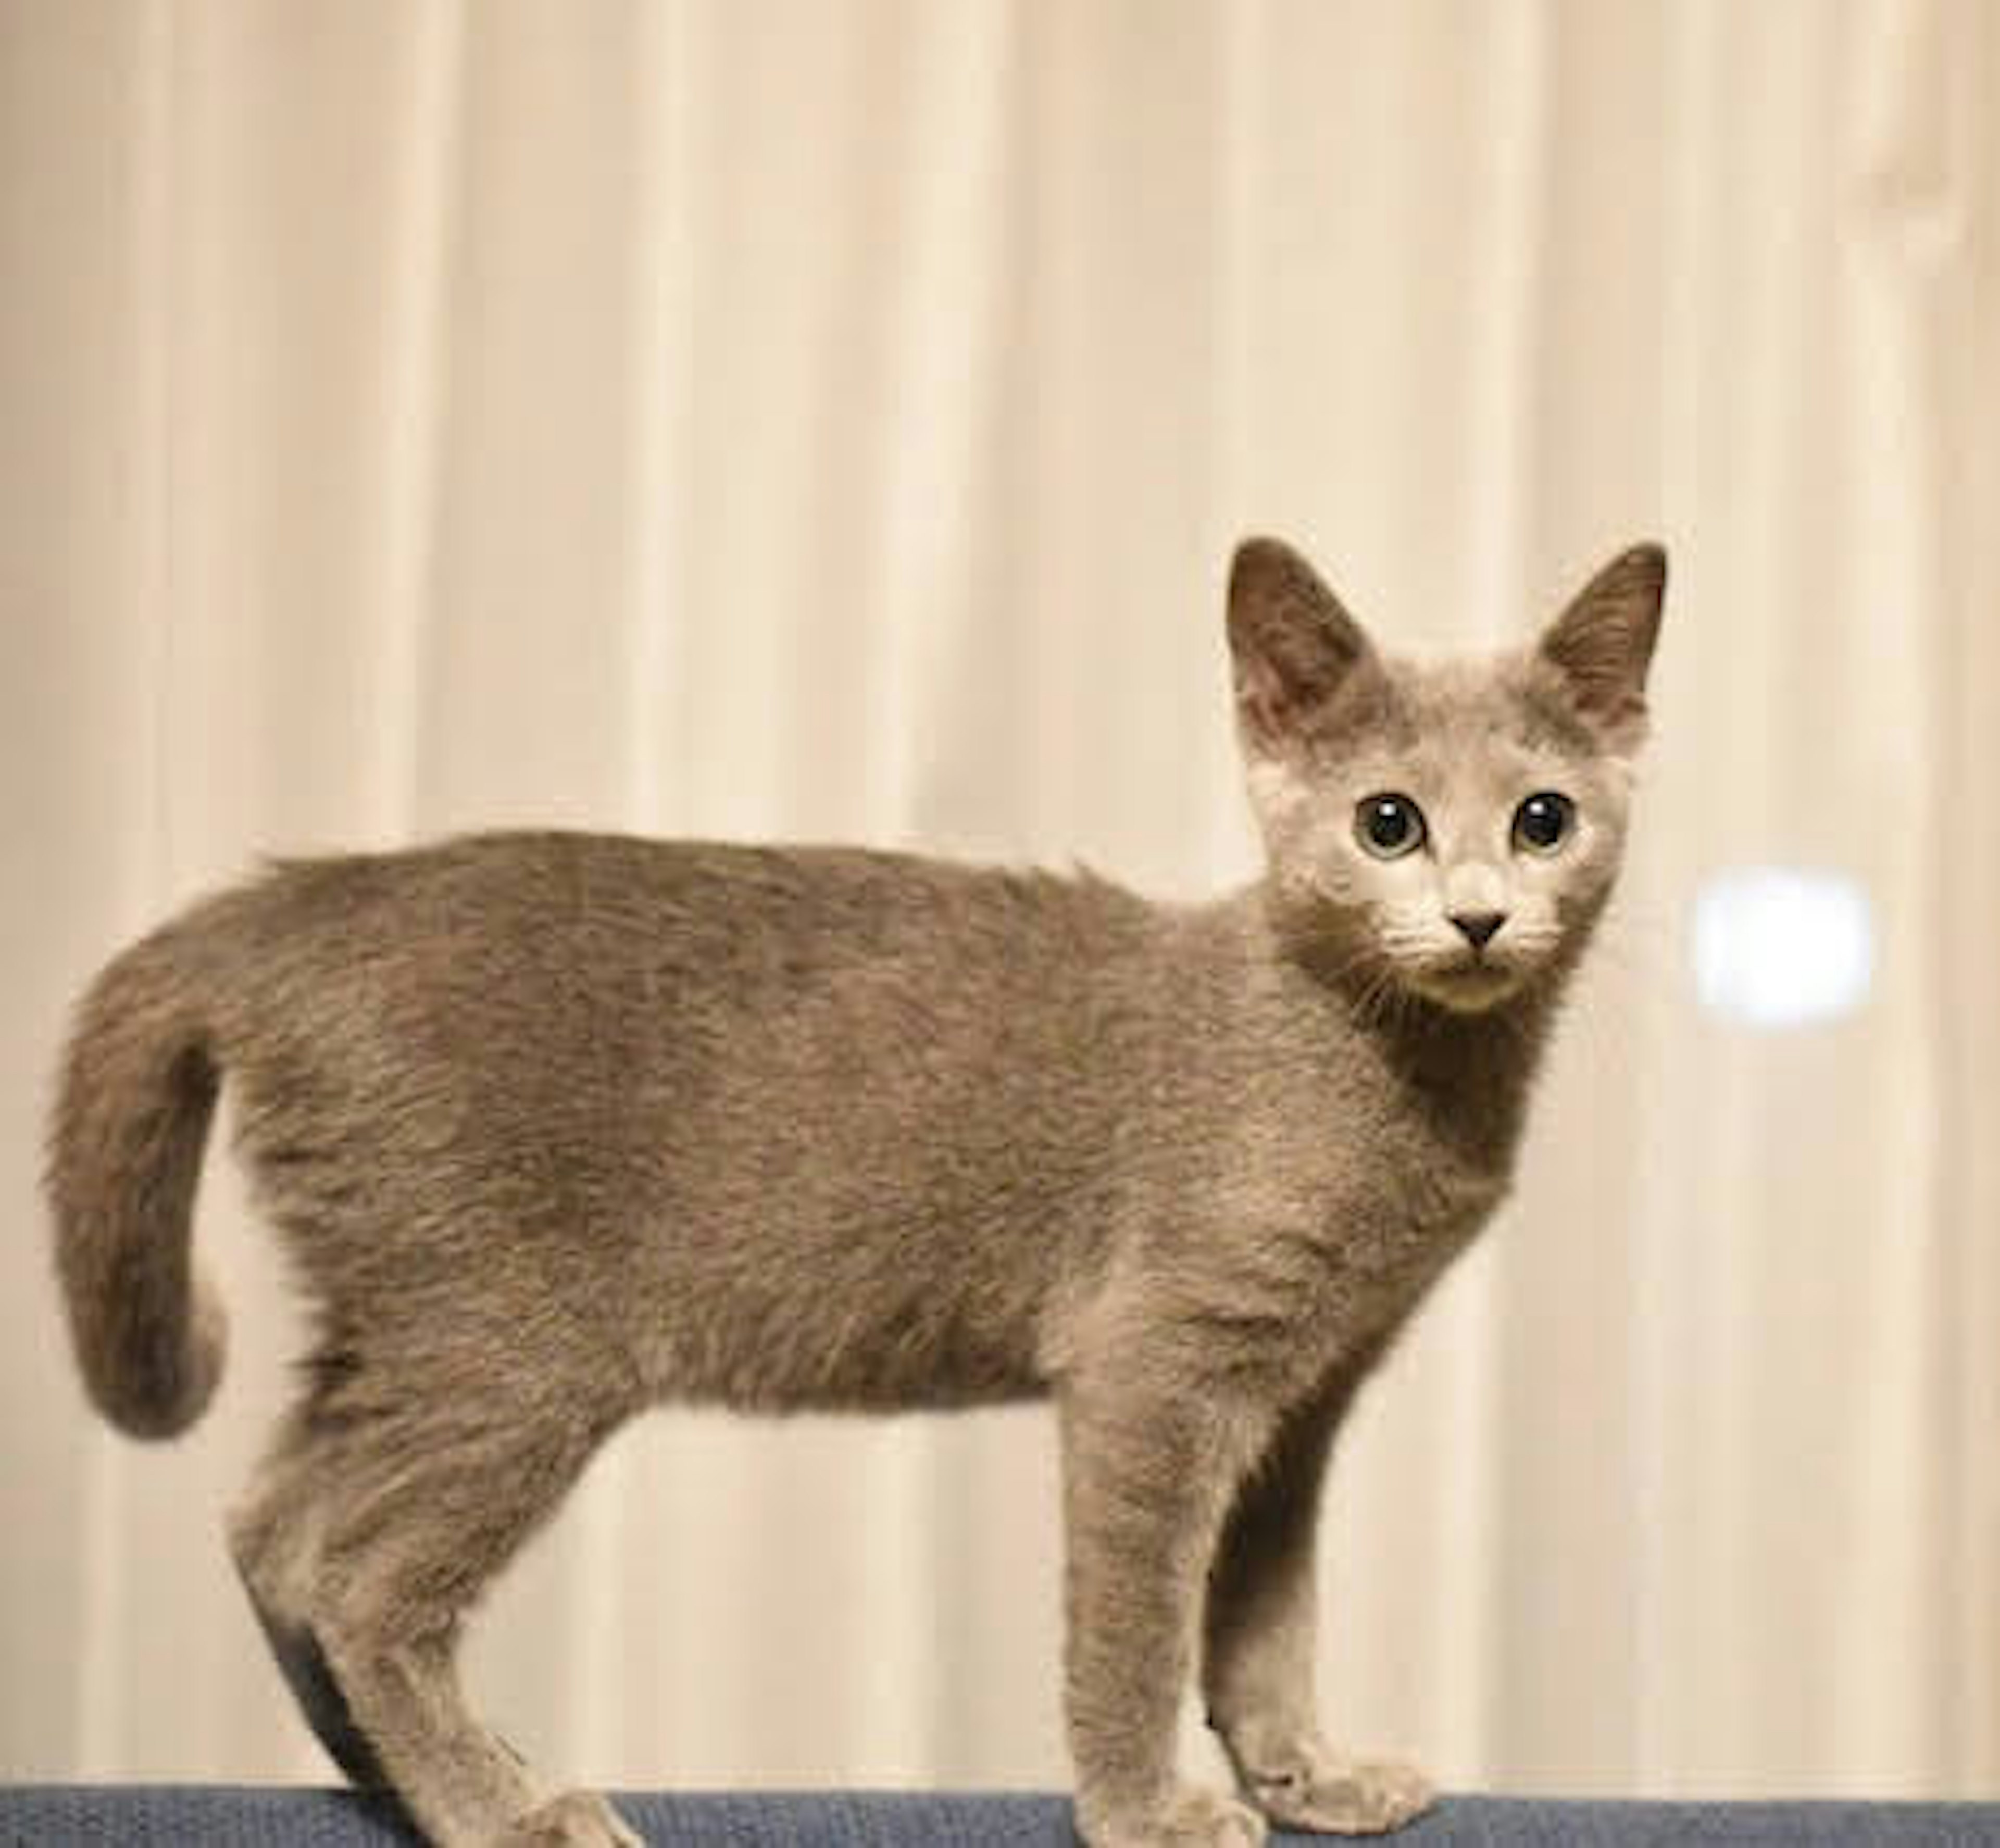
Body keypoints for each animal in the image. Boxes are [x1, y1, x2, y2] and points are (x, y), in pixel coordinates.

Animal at [51, 536, 1672, 1848]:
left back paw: (399, 1776)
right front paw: (1145, 1809)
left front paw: (1306, 1773)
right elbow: (1141, 1615)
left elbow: (1265, 1611)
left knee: (274, 1527)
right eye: (1387, 822)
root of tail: (280, 908)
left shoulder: (1306, 1389)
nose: (1479, 915)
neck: (1391, 1070)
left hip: (401, 1313)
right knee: (361, 1576)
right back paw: (496, 1810)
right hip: (506, 1339)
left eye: (1541, 820)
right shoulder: (1157, 1361)